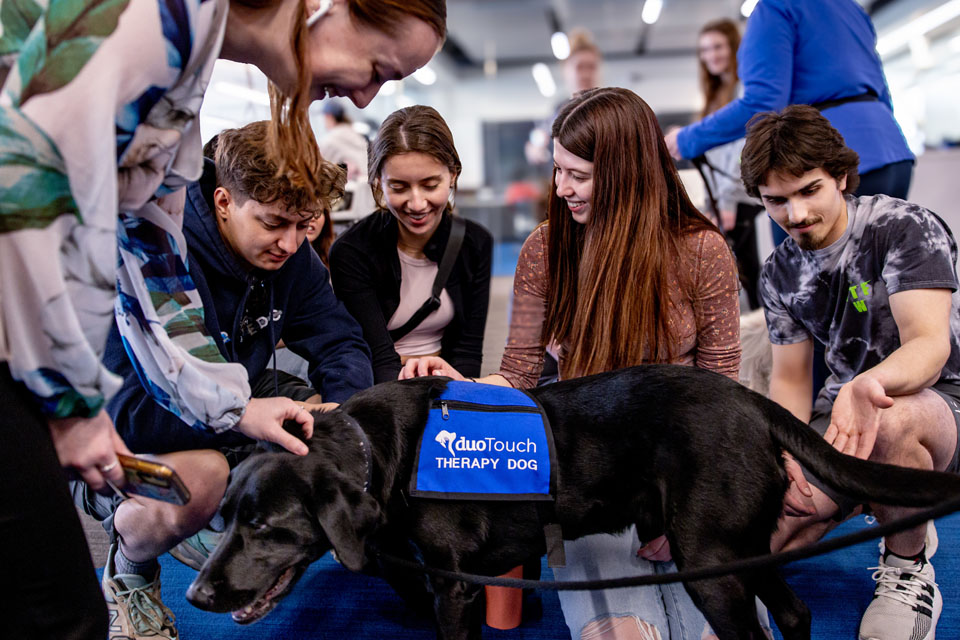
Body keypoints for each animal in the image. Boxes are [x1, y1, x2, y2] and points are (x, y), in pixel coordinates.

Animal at [186, 364, 960, 640]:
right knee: (795, 615)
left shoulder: (454, 587)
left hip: (708, 557)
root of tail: (753, 401)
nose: (197, 595)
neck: (380, 451)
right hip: (737, 547)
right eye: (224, 520)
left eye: (265, 527)